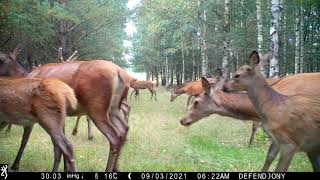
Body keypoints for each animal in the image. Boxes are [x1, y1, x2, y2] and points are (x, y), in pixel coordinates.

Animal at [0, 44, 131, 172]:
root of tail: (120, 72)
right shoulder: (59, 114)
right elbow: (58, 145)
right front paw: (64, 168)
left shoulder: (34, 115)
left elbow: (24, 140)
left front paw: (15, 165)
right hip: (113, 108)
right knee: (123, 129)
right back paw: (116, 168)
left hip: (96, 107)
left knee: (114, 136)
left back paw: (108, 169)